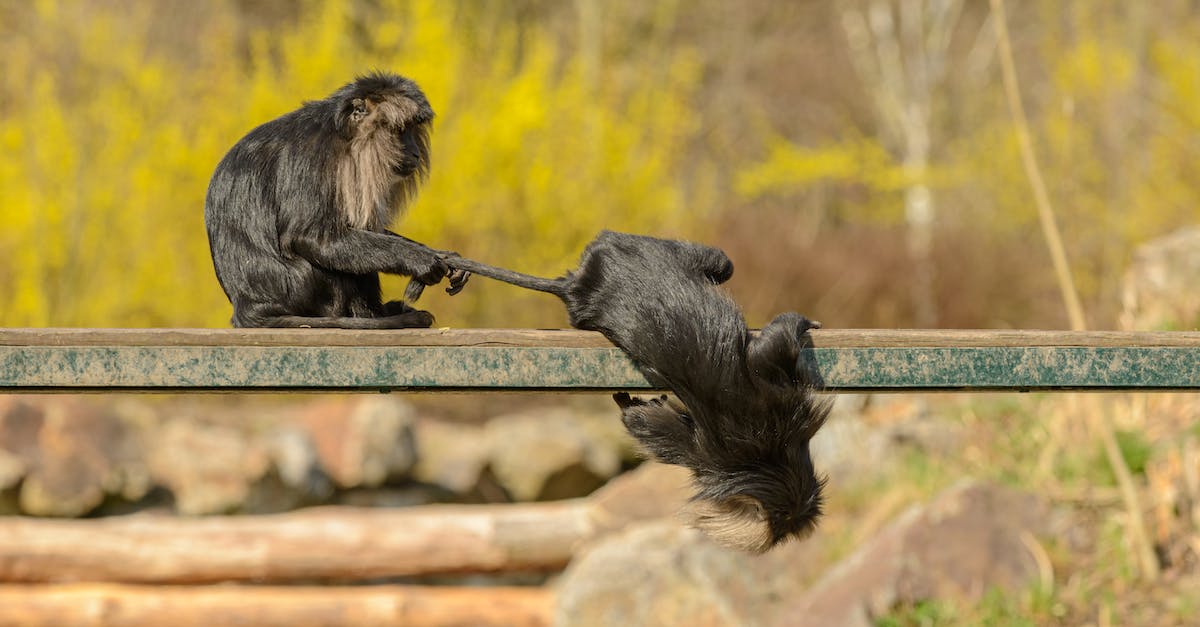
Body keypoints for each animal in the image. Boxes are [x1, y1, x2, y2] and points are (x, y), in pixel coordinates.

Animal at [204, 71, 469, 329]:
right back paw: (372, 317)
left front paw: (443, 255)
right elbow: (311, 238)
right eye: (400, 130)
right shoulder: (313, 157)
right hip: (304, 287)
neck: (344, 137)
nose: (415, 152)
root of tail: (248, 308)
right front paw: (418, 259)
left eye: (413, 129)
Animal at [410, 230, 830, 553]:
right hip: (629, 247)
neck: (769, 461)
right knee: (718, 262)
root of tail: (577, 286)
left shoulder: (713, 449)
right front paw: (802, 322)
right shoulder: (768, 411)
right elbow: (770, 348)